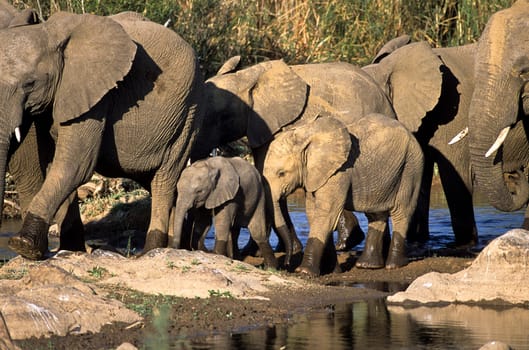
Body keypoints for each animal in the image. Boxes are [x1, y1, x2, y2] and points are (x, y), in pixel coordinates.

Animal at [3, 10, 202, 260]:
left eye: (30, 83)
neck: (51, 33)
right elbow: (51, 165)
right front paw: (69, 250)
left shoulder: (98, 98)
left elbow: (75, 165)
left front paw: (23, 246)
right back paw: (178, 248)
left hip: (188, 114)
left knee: (164, 180)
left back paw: (152, 252)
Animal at [262, 113, 422, 274]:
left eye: (282, 173)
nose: (286, 264)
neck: (306, 137)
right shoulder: (315, 175)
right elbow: (314, 214)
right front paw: (333, 271)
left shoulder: (339, 172)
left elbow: (327, 213)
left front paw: (304, 272)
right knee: (376, 214)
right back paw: (367, 265)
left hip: (410, 166)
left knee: (401, 212)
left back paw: (394, 265)